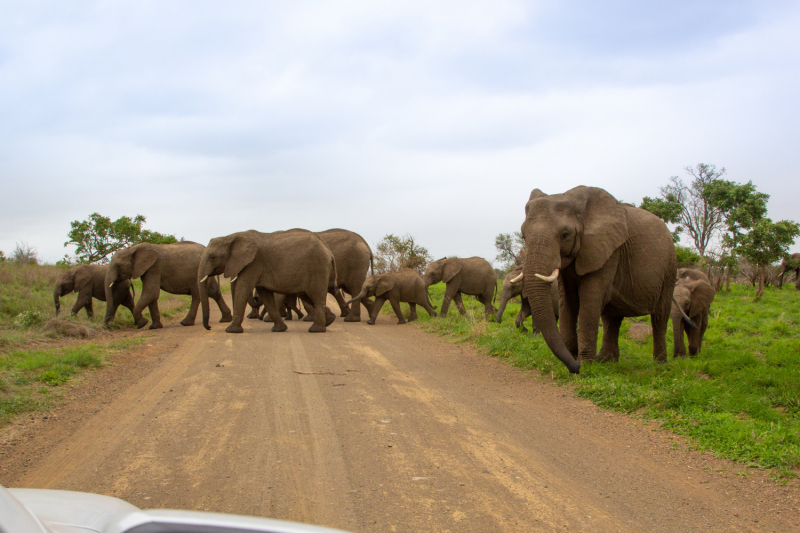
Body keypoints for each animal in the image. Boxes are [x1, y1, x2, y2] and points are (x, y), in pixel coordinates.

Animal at [103, 242, 231, 328]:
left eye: (118, 266)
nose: (108, 326)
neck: (132, 249)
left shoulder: (154, 267)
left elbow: (151, 292)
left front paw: (142, 324)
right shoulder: (148, 269)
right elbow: (152, 296)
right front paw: (154, 327)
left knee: (197, 295)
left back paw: (185, 323)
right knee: (214, 292)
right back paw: (225, 319)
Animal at [202, 229, 340, 332]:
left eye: (213, 257)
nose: (209, 327)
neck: (230, 237)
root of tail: (329, 252)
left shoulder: (254, 263)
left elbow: (244, 288)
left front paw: (230, 330)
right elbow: (265, 295)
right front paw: (279, 329)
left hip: (318, 267)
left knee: (315, 297)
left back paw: (316, 329)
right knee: (308, 296)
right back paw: (330, 320)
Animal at [520, 185, 676, 372]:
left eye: (565, 235)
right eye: (523, 235)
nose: (575, 367)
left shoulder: (608, 252)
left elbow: (589, 301)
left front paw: (585, 366)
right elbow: (568, 302)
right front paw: (572, 362)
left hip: (669, 269)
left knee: (660, 316)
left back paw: (659, 366)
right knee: (611, 318)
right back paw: (606, 361)